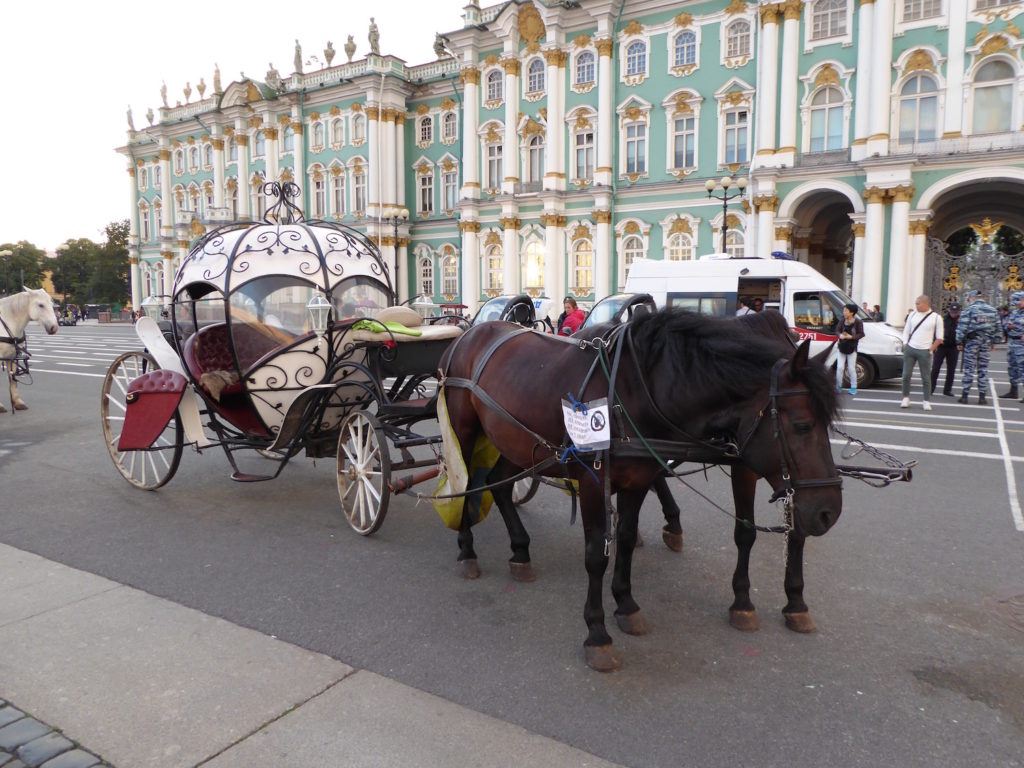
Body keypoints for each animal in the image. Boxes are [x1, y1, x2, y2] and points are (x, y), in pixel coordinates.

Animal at [440, 309, 839, 671]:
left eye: (829, 423)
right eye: (802, 425)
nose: (829, 511)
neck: (630, 390)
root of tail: (470, 332)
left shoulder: (638, 479)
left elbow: (628, 540)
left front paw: (626, 605)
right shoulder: (594, 482)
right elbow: (596, 556)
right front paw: (597, 633)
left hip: (518, 444)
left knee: (498, 484)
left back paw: (520, 551)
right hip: (465, 430)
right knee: (464, 484)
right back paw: (466, 550)